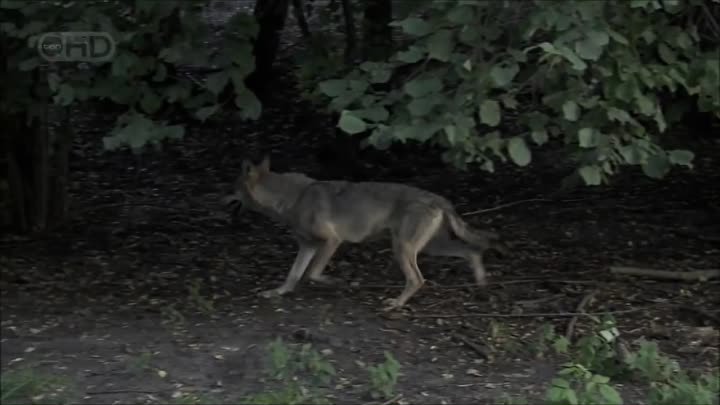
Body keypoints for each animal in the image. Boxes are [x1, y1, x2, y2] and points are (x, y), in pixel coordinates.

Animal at [222, 156, 510, 310]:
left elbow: (313, 274)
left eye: (232, 188)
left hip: (403, 249)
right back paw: (481, 282)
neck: (293, 198)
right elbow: (293, 275)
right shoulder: (307, 246)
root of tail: (438, 198)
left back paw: (396, 304)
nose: (217, 200)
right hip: (429, 248)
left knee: (418, 279)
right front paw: (278, 292)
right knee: (472, 251)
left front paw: (340, 282)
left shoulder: (331, 241)